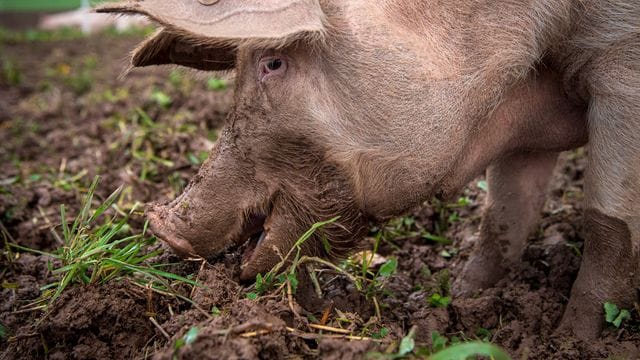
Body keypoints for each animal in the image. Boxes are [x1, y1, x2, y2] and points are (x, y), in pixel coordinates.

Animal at [97, 0, 636, 340]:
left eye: (273, 63)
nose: (161, 227)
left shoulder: (622, 70)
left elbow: (608, 219)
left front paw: (573, 339)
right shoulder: (523, 120)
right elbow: (505, 211)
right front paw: (459, 298)